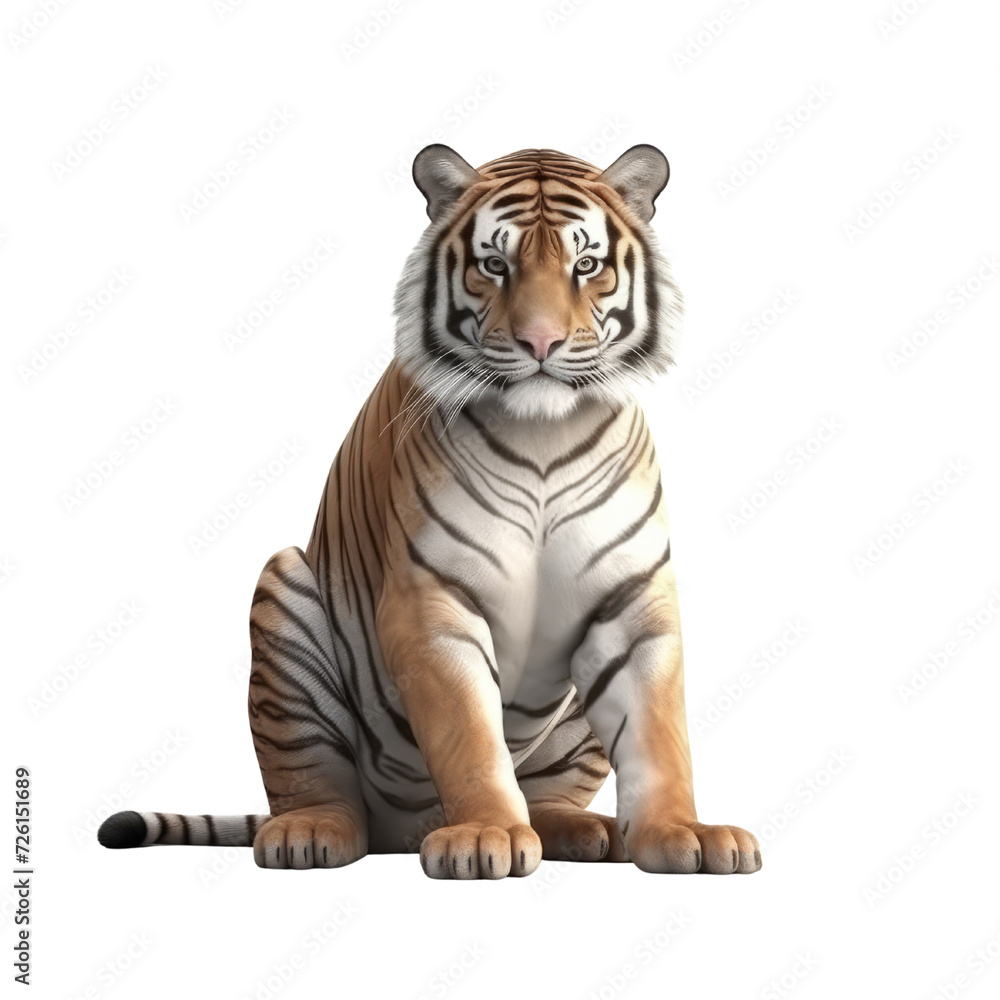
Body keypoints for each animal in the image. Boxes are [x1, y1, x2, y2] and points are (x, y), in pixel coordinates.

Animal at [98, 143, 762, 878]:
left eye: (586, 265)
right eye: (494, 265)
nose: (540, 343)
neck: (543, 435)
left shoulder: (631, 606)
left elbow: (660, 736)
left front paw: (687, 832)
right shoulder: (431, 604)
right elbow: (468, 735)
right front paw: (486, 835)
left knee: (550, 793)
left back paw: (583, 830)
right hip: (284, 595)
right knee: (315, 782)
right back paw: (309, 833)